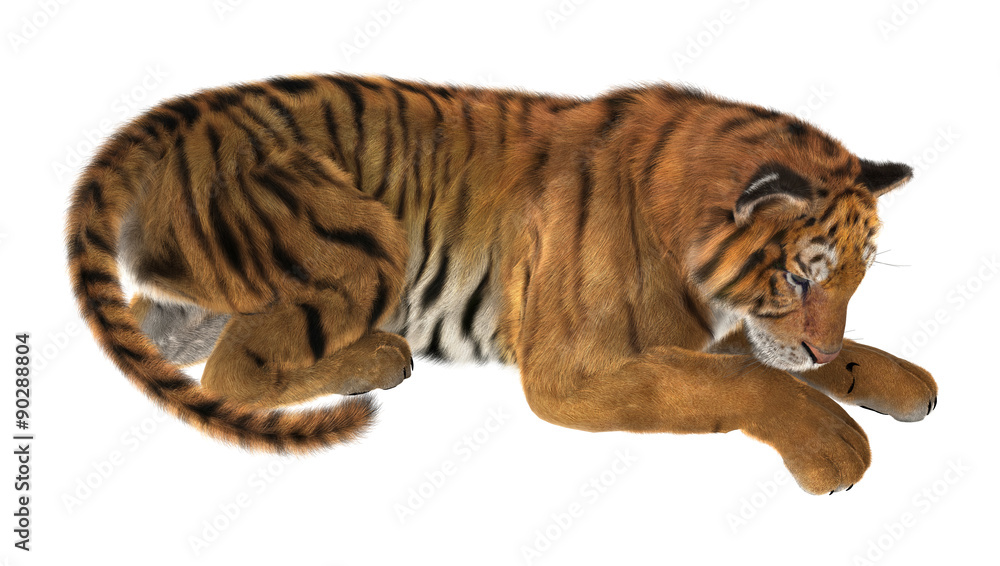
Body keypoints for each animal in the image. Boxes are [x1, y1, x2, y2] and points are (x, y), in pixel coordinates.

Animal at [66, 74, 938, 495]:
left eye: (855, 278)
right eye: (798, 276)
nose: (817, 345)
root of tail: (173, 119)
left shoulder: (707, 334)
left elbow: (791, 364)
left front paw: (904, 384)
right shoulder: (574, 370)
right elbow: (747, 385)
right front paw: (835, 448)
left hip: (192, 297)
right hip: (364, 237)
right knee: (232, 375)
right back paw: (376, 359)